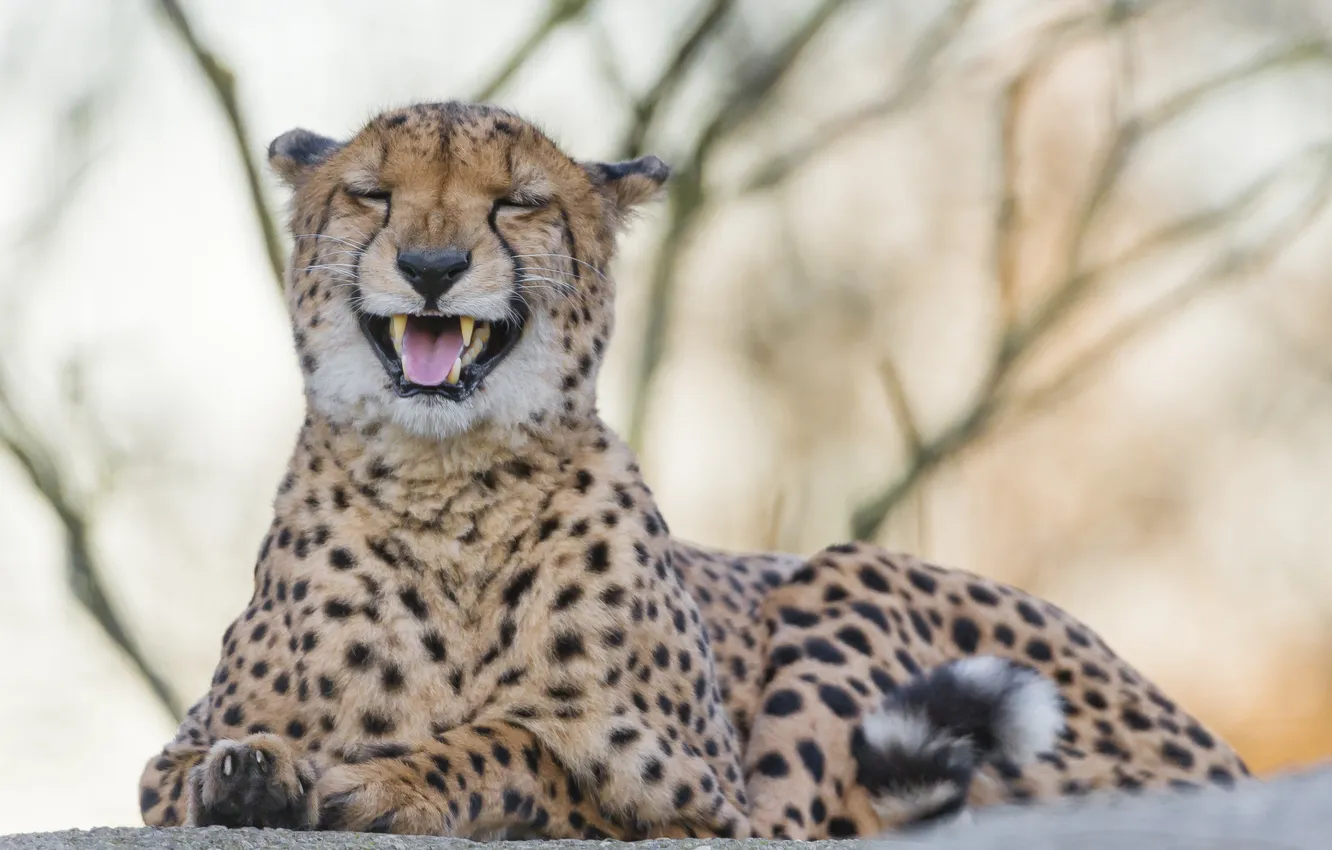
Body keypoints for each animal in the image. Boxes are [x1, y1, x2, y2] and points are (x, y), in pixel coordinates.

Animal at [137, 100, 1249, 840]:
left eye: (517, 205)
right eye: (371, 196)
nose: (433, 268)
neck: (447, 485)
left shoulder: (707, 802)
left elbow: (526, 743)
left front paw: (403, 779)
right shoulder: (163, 763)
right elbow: (203, 764)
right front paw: (255, 771)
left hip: (843, 578)